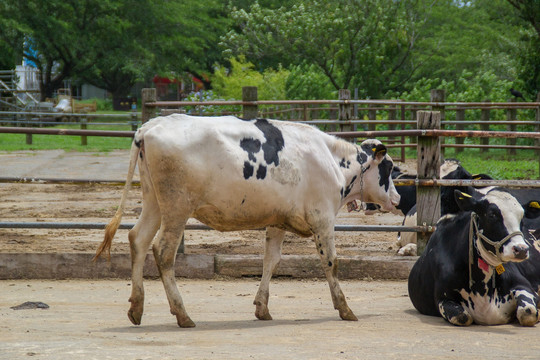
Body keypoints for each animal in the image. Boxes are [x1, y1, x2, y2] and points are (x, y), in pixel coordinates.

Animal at [94, 114, 400, 328]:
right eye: (388, 168)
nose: (397, 198)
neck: (333, 161)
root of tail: (150, 126)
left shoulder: (277, 221)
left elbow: (270, 261)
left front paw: (262, 307)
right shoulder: (322, 218)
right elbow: (332, 263)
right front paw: (345, 308)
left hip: (154, 203)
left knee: (138, 239)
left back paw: (136, 308)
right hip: (176, 208)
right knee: (163, 251)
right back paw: (182, 314)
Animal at [410, 188, 540, 326]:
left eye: (522, 218)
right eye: (492, 215)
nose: (521, 249)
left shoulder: (524, 286)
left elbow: (528, 312)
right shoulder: (442, 298)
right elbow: (462, 316)